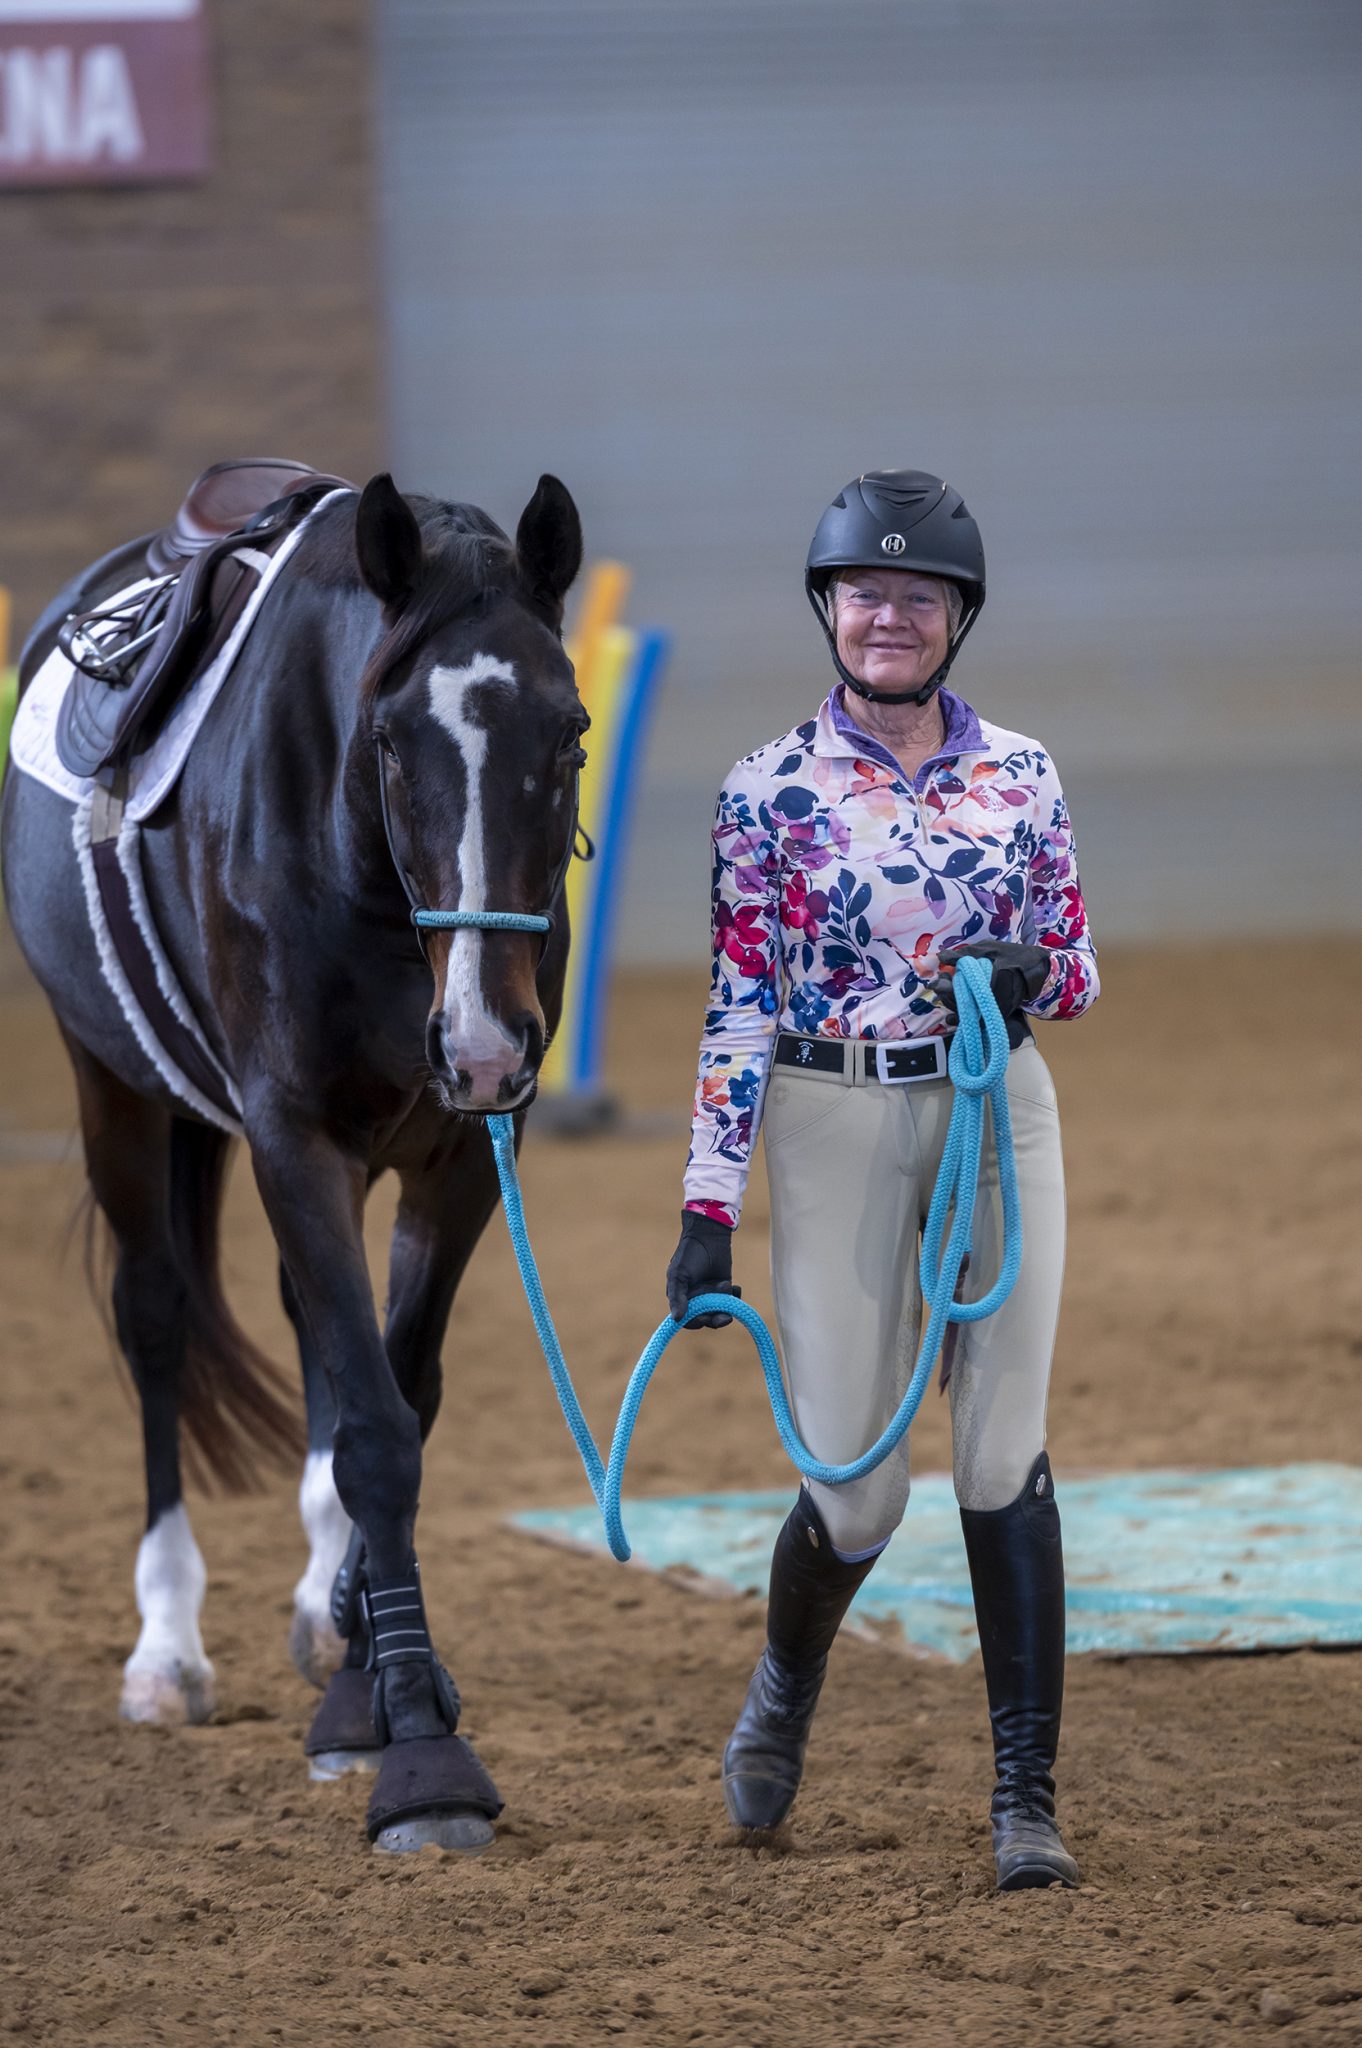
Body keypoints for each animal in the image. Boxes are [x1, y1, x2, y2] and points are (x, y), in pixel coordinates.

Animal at [0, 469, 587, 1852]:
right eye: (391, 741)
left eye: (573, 733)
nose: (482, 1036)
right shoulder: (291, 1137)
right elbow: (374, 1429)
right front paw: (419, 1748)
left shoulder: (463, 1147)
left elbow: (400, 1389)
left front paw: (372, 1667)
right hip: (112, 1087)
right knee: (157, 1318)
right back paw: (167, 1648)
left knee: (314, 1325)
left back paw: (326, 1611)